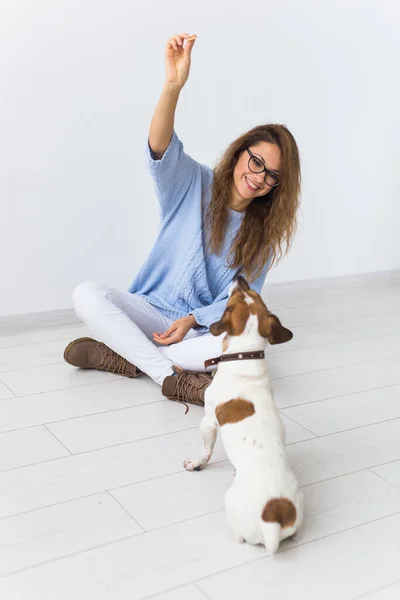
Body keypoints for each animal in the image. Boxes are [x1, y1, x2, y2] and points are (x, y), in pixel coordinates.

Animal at [184, 276, 304, 552]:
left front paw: (197, 463)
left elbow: (206, 450)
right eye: (253, 295)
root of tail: (272, 516)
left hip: (231, 502)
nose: (240, 276)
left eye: (235, 296)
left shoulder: (208, 422)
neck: (244, 356)